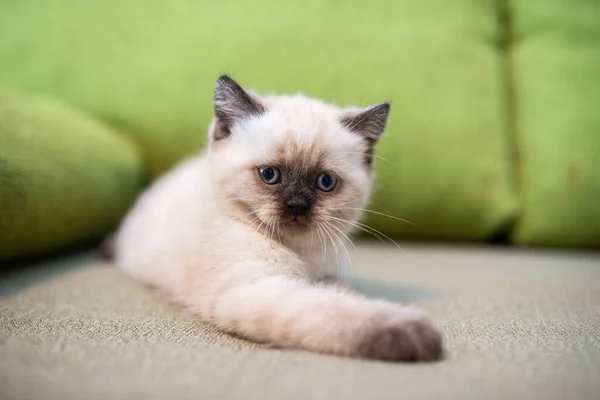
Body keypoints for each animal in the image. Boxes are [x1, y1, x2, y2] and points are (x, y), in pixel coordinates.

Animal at [112, 75, 442, 362]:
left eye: (325, 182)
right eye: (270, 175)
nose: (297, 206)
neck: (304, 255)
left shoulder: (328, 277)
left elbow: (346, 296)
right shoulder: (257, 287)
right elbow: (335, 310)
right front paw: (418, 335)